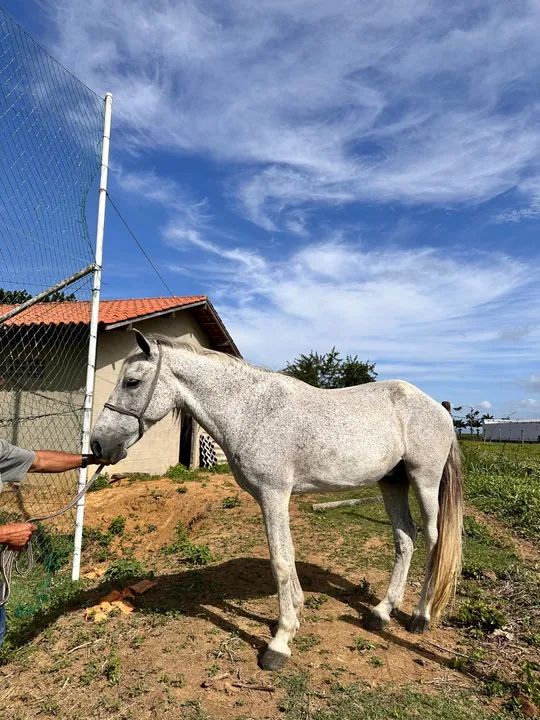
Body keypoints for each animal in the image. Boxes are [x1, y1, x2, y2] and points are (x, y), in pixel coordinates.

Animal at [90, 330, 462, 671]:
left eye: (133, 382)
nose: (98, 444)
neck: (251, 411)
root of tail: (440, 409)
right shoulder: (271, 498)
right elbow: (286, 558)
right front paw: (293, 617)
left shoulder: (274, 495)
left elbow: (280, 561)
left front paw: (279, 644)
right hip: (392, 483)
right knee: (405, 538)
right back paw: (381, 613)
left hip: (424, 481)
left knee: (434, 540)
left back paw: (420, 616)